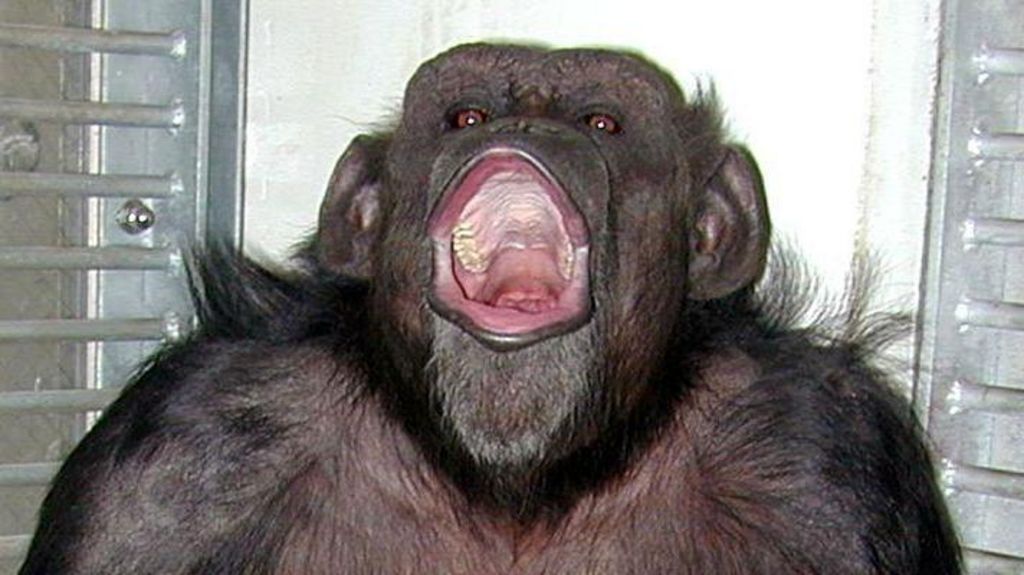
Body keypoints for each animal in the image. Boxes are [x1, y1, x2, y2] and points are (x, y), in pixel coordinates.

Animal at [20, 43, 960, 574]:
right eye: (466, 113)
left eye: (602, 122)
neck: (514, 489)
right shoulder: (176, 458)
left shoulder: (830, 471)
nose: (526, 122)